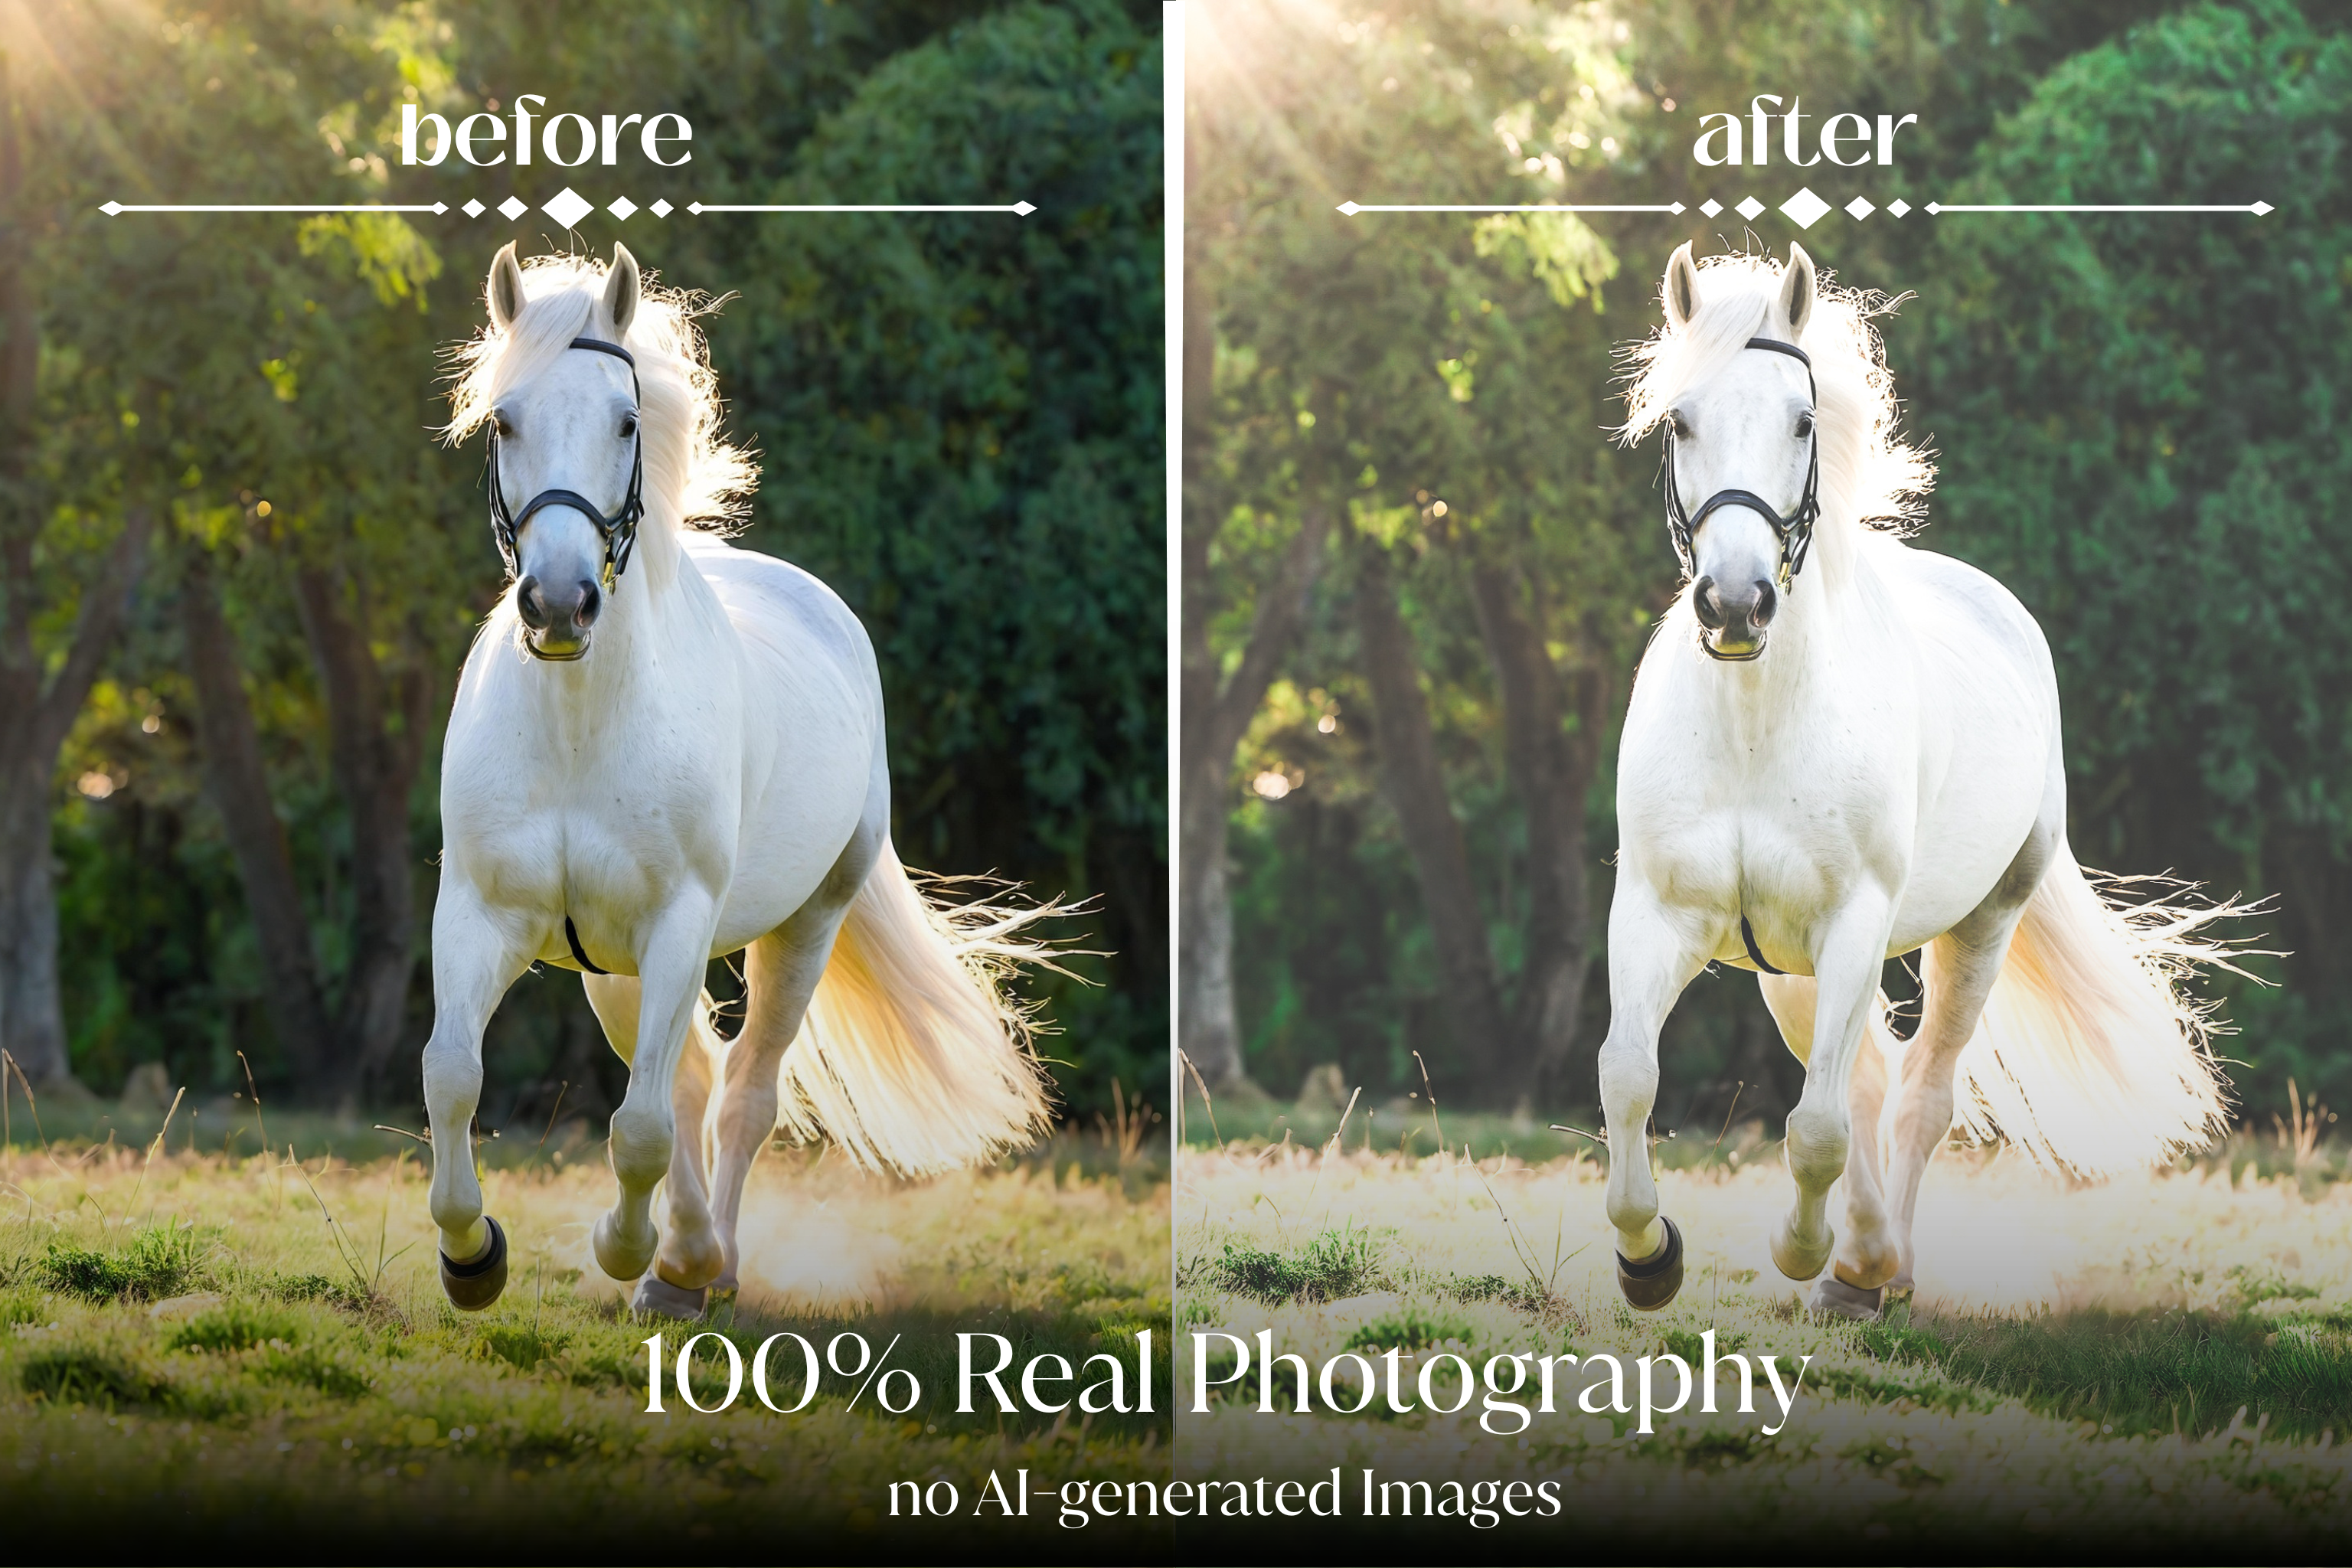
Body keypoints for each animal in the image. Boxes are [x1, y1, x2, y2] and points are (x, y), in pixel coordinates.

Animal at [421, 242, 1053, 1319]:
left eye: (626, 422)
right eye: (504, 420)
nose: (560, 603)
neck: (578, 728)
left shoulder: (679, 922)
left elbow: (642, 1123)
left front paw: (634, 1251)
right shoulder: (480, 914)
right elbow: (454, 1074)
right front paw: (473, 1255)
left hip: (804, 926)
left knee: (741, 1092)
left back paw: (697, 1265)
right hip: (614, 968)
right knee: (685, 1081)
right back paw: (679, 1257)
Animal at [1596, 242, 2240, 1319]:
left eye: (1802, 421)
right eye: (1679, 421)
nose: (1735, 604)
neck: (1753, 726)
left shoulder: (1855, 922)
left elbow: (1817, 1123)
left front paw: (1810, 1253)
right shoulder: (1658, 915)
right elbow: (1629, 1076)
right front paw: (1649, 1257)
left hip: (1977, 927)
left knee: (1917, 1094)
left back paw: (1874, 1267)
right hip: (1789, 969)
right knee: (1861, 1080)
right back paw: (1858, 1260)